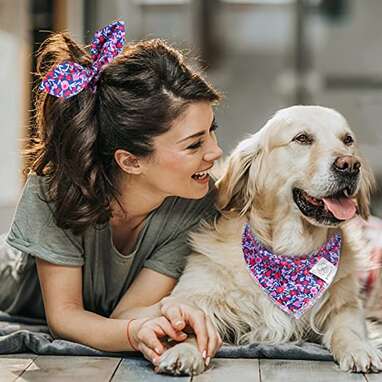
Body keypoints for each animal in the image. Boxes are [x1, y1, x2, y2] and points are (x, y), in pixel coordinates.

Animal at [156, 105, 382, 376]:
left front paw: (360, 349)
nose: (350, 165)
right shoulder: (195, 294)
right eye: (302, 138)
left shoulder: (345, 305)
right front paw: (183, 351)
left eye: (347, 140)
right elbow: (191, 324)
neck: (288, 254)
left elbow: (349, 328)